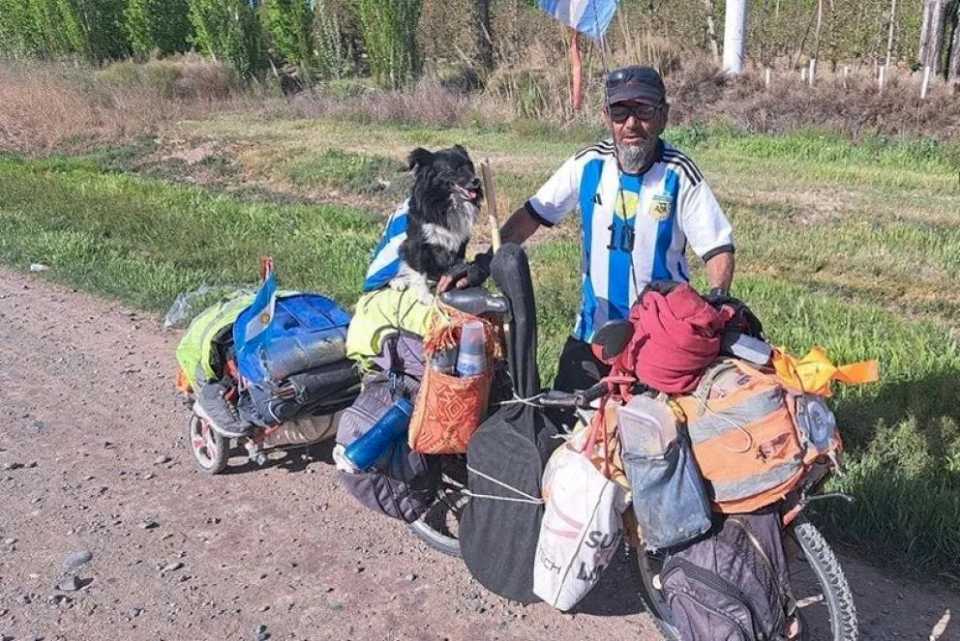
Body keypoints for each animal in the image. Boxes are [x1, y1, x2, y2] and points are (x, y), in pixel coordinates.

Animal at [390, 145, 484, 304]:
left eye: (470, 166)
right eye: (452, 169)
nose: (476, 180)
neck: (446, 202)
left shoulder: (459, 243)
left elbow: (456, 266)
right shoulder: (416, 243)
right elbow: (419, 271)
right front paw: (424, 296)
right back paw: (398, 282)